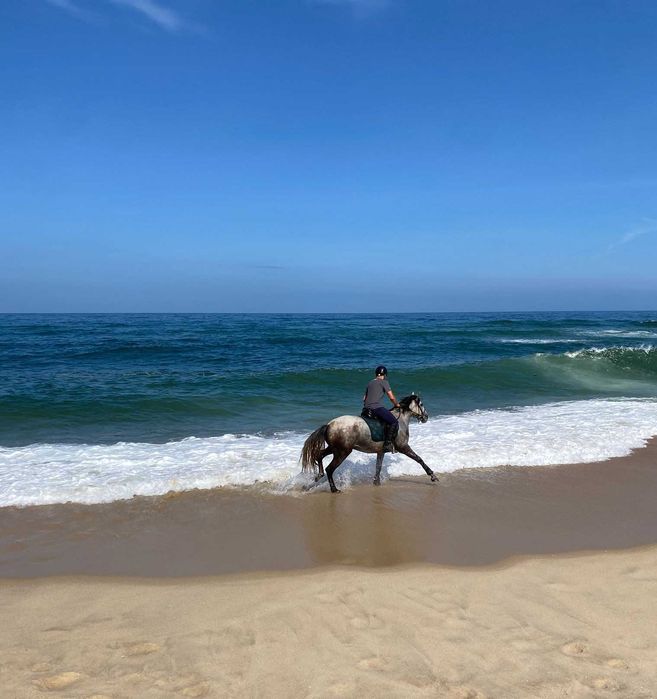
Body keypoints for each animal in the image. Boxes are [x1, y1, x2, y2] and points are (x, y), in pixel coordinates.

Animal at [300, 394, 438, 493]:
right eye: (421, 404)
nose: (426, 417)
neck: (401, 420)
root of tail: (329, 425)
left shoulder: (381, 451)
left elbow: (378, 467)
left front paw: (376, 483)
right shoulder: (403, 447)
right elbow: (419, 459)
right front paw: (432, 476)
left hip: (334, 448)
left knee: (319, 455)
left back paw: (318, 476)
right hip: (342, 452)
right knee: (330, 469)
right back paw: (334, 489)